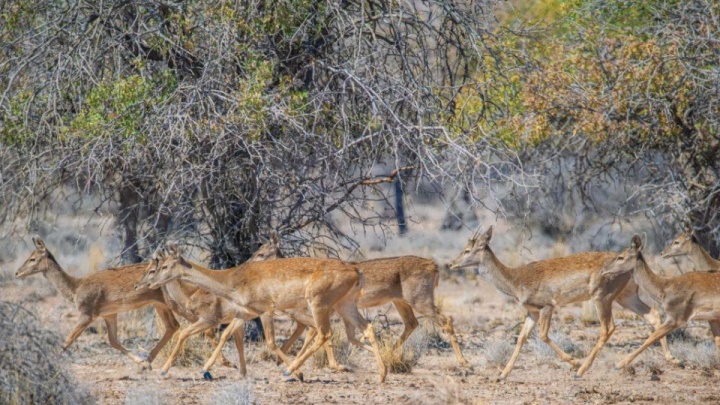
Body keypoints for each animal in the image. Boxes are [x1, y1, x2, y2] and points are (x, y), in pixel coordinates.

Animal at [14, 235, 179, 368]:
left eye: (33, 258)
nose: (17, 272)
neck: (75, 288)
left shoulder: (87, 313)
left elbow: (68, 340)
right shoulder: (109, 314)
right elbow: (113, 341)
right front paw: (142, 362)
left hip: (167, 302)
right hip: (158, 304)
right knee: (172, 326)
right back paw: (149, 360)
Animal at [143, 243, 386, 382]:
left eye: (163, 266)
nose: (149, 284)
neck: (233, 279)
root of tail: (356, 270)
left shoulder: (265, 311)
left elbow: (269, 341)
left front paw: (165, 371)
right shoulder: (244, 314)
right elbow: (228, 336)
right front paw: (210, 369)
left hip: (318, 304)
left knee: (325, 333)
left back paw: (290, 372)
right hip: (345, 305)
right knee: (365, 329)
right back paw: (381, 374)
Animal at [450, 224, 676, 378]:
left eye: (468, 250)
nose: (452, 264)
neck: (515, 280)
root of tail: (630, 270)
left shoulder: (547, 306)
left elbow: (543, 335)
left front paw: (573, 362)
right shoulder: (531, 311)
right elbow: (521, 338)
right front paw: (502, 375)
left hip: (602, 297)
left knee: (609, 327)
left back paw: (582, 370)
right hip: (625, 296)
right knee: (653, 315)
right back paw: (673, 359)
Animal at [600, 234, 720, 370]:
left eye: (621, 257)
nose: (603, 270)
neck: (664, 288)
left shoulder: (676, 318)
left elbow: (651, 338)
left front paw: (618, 365)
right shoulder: (712, 318)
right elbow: (718, 342)